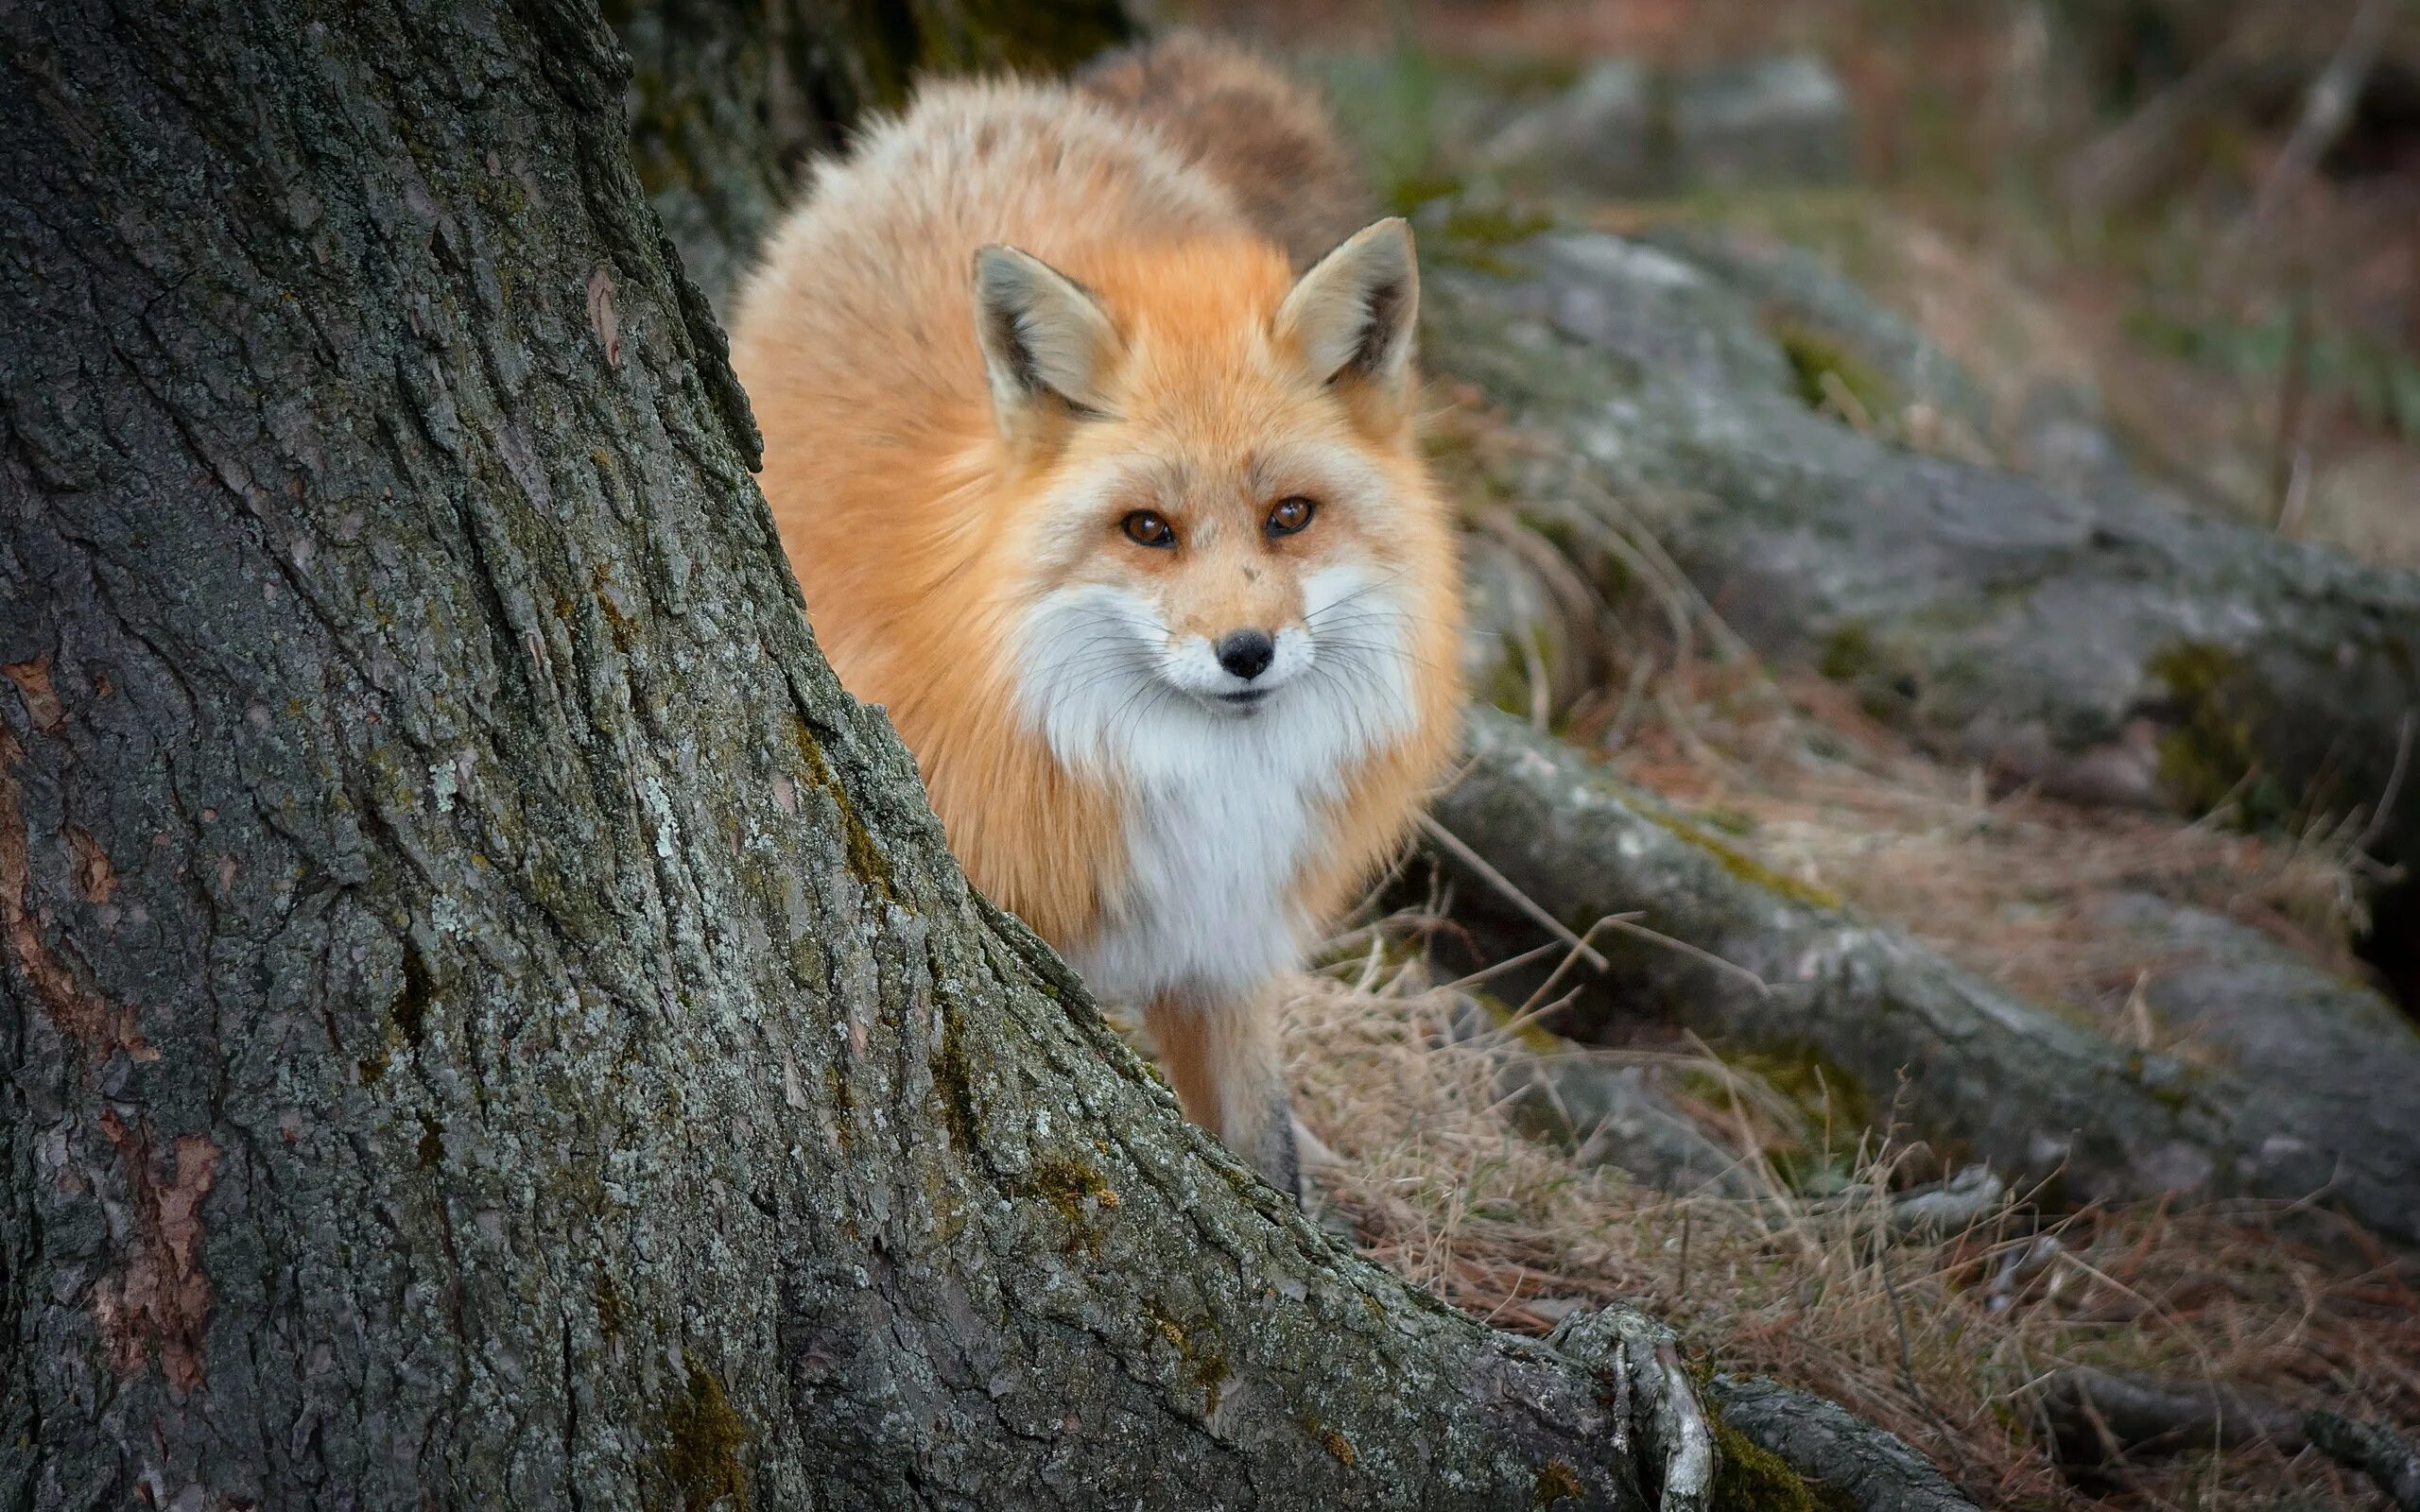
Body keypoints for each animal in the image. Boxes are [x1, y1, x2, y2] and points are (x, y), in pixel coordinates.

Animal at [726, 29, 1461, 1194]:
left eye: (1290, 516)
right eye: (1146, 528)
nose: (1246, 652)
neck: (1197, 793)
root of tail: (993, 104)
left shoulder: (1223, 960)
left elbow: (1265, 1161)